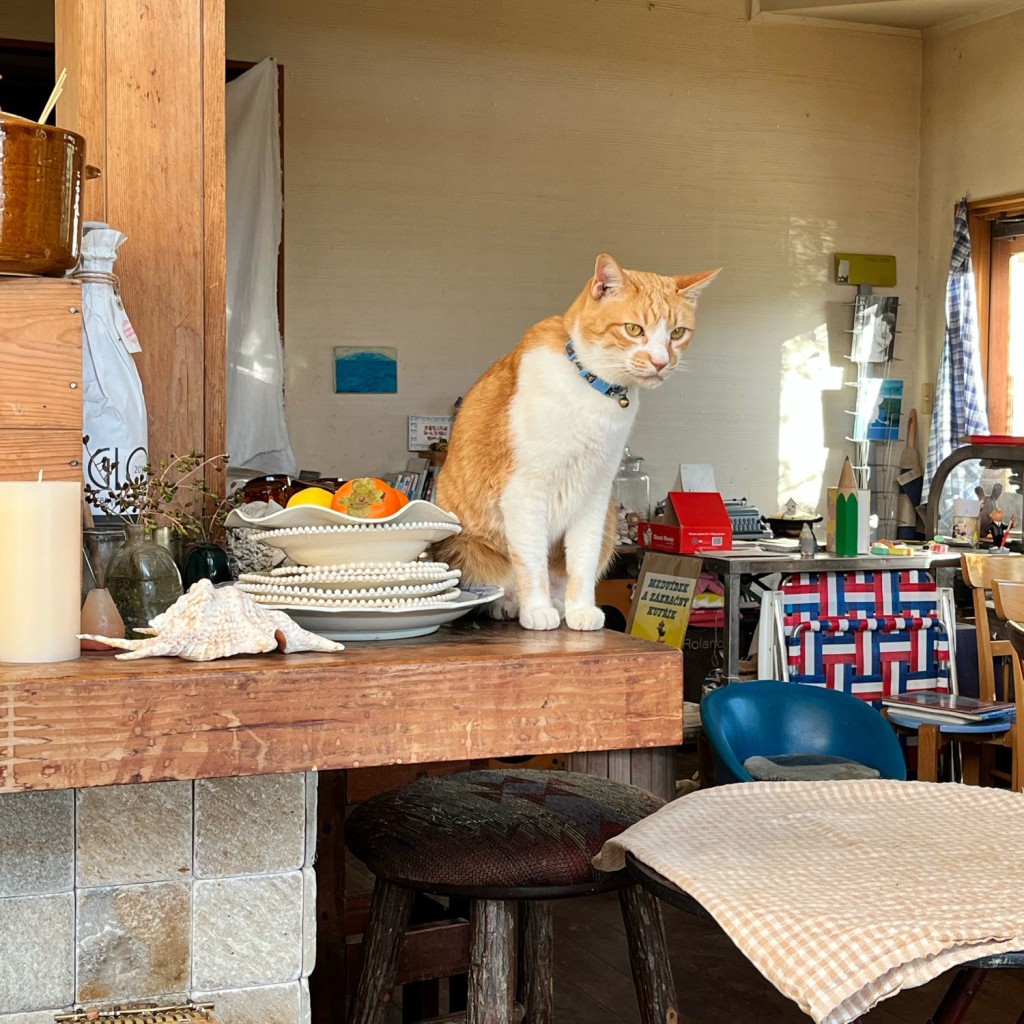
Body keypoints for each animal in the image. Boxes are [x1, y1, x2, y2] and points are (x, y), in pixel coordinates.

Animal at [434, 251, 720, 626]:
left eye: (677, 333)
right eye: (633, 329)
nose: (661, 362)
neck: (593, 389)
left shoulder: (594, 493)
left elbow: (582, 561)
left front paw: (580, 609)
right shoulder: (525, 492)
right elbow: (532, 566)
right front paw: (537, 610)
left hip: (609, 523)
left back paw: (559, 605)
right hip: (466, 544)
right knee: (501, 583)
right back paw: (511, 606)